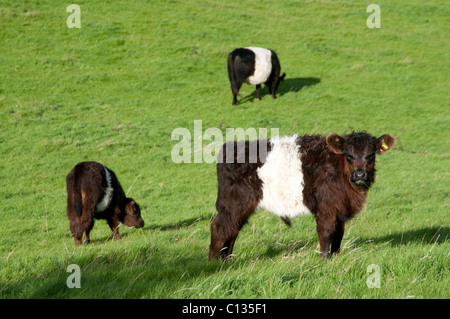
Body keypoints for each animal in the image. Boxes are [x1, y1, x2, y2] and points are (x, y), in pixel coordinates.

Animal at [209, 132, 396, 260]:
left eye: (371, 155)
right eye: (348, 155)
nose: (360, 175)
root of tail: (229, 147)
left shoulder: (340, 209)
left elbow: (338, 235)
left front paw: (335, 256)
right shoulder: (326, 208)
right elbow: (326, 232)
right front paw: (324, 259)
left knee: (232, 230)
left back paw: (226, 260)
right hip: (234, 203)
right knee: (219, 228)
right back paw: (214, 263)